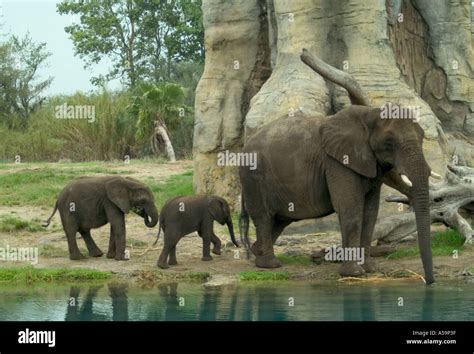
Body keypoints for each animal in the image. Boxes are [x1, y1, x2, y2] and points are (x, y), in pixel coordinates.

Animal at [239, 48, 438, 284]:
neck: (369, 115)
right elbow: (350, 208)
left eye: (423, 136)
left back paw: (258, 254)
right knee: (264, 217)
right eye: (389, 143)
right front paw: (354, 273)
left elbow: (370, 212)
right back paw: (270, 265)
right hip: (253, 178)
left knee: (278, 220)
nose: (429, 282)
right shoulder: (337, 162)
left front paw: (369, 269)